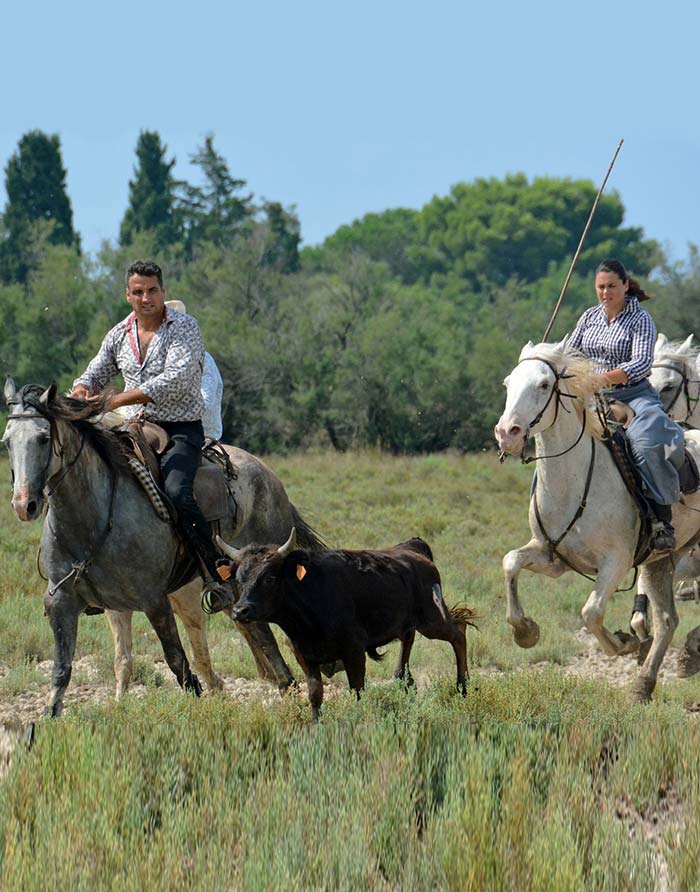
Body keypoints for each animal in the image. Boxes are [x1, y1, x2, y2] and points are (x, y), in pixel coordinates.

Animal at [2, 380, 326, 716]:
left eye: (43, 438)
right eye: (7, 442)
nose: (24, 505)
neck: (94, 518)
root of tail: (269, 477)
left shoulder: (154, 600)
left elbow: (178, 663)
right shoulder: (64, 602)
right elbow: (64, 670)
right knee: (261, 637)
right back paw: (286, 691)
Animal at [215, 528, 476, 716]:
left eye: (269, 578)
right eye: (239, 578)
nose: (240, 610)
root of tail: (413, 549)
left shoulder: (354, 651)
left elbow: (357, 690)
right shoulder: (305, 655)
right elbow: (315, 694)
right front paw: (316, 725)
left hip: (432, 620)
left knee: (458, 632)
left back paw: (463, 686)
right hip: (410, 623)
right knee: (409, 641)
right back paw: (405, 681)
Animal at [494, 342, 700, 704]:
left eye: (544, 384)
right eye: (508, 383)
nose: (507, 433)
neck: (572, 482)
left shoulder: (615, 561)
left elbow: (591, 612)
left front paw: (623, 643)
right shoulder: (553, 557)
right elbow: (510, 562)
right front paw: (525, 631)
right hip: (660, 563)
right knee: (666, 620)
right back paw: (644, 685)